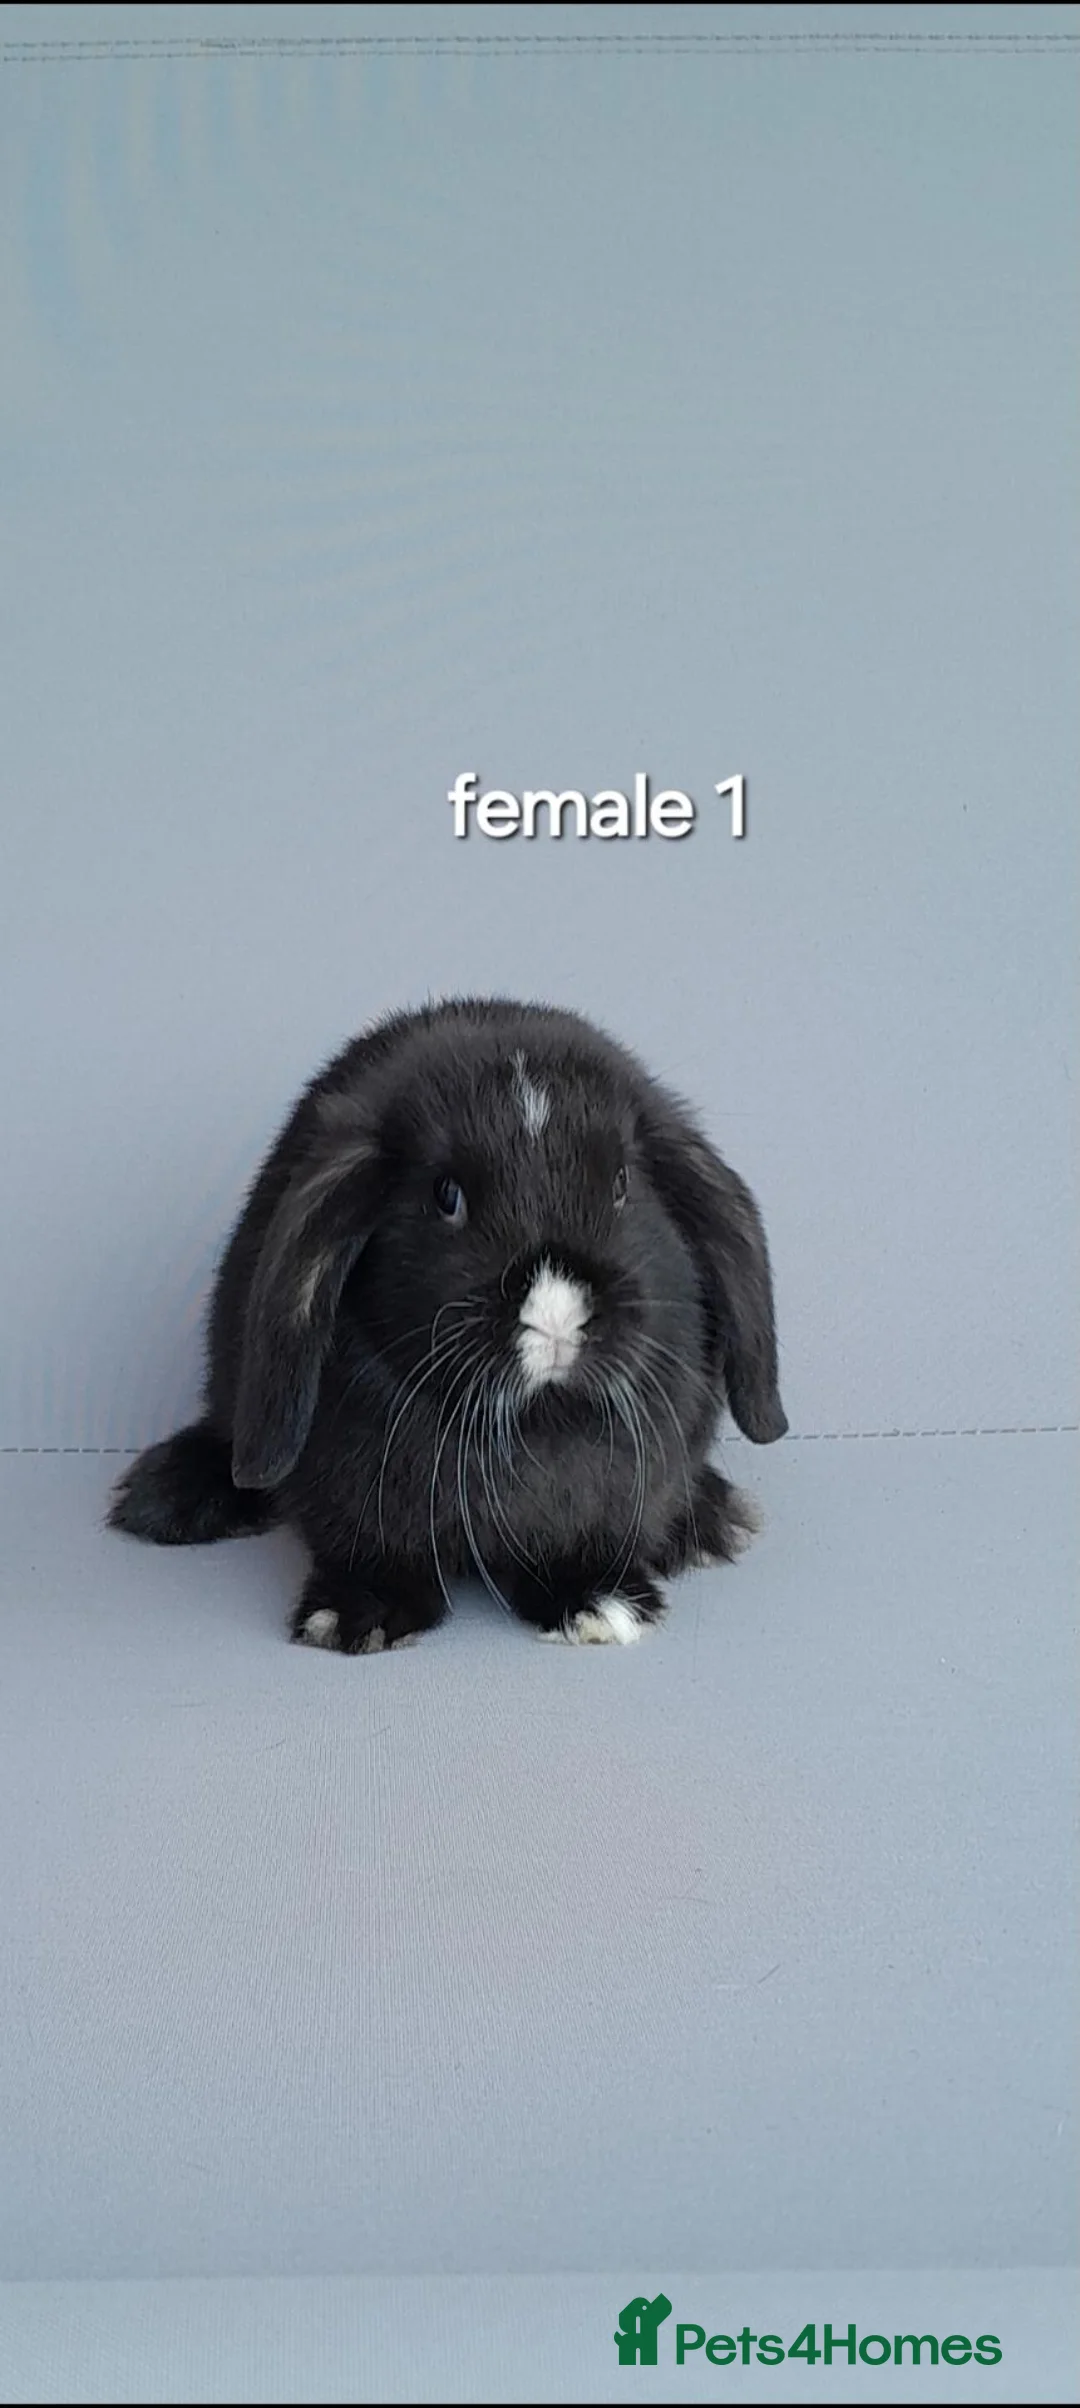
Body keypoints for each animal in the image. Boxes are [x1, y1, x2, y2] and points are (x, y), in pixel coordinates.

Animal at [107, 997, 788, 1650]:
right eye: (446, 1195)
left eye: (622, 1184)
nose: (555, 1314)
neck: (535, 1421)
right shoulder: (356, 1494)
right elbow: (370, 1548)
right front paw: (357, 1618)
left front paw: (600, 1602)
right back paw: (168, 1496)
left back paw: (711, 1522)